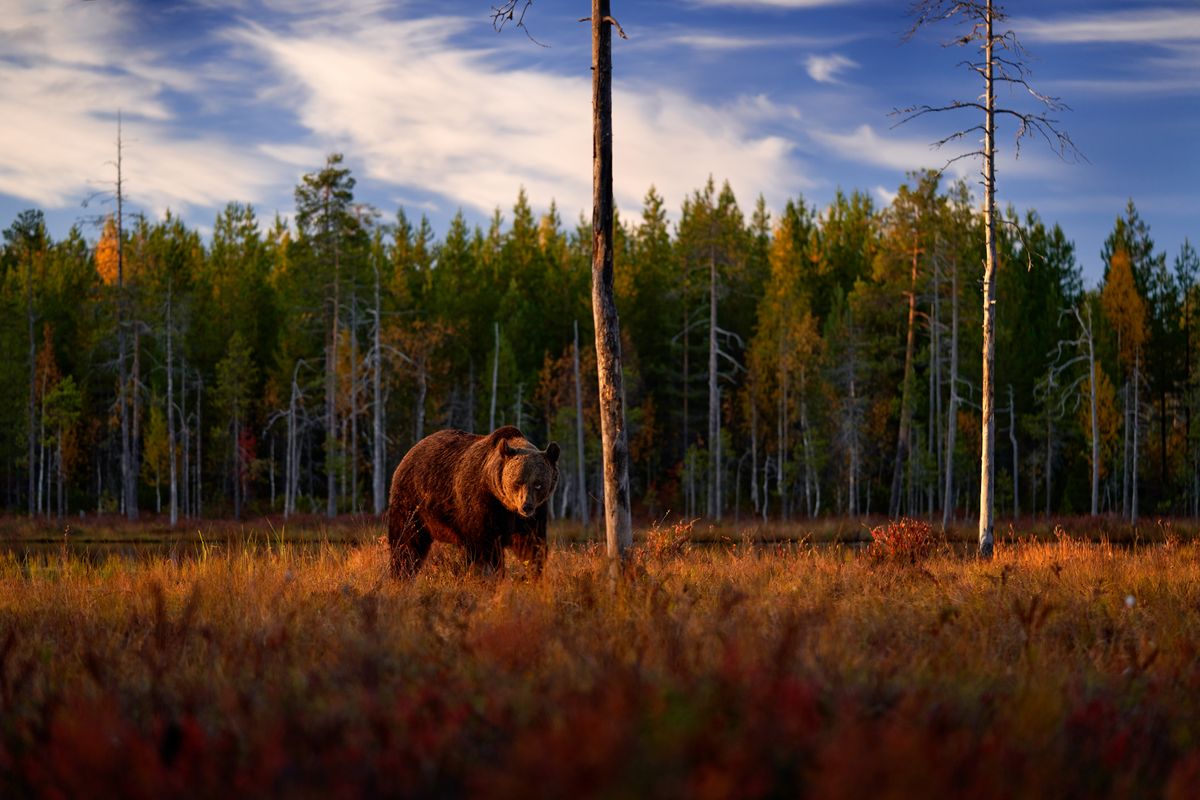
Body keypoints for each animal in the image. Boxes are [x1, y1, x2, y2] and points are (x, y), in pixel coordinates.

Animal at [386, 424, 559, 575]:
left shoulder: (534, 516)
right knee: (407, 541)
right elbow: (485, 549)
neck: (505, 504)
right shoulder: (482, 504)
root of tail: (412, 450)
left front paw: (535, 574)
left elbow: (532, 546)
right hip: (413, 502)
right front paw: (490, 575)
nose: (526, 507)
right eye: (518, 482)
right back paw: (402, 573)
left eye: (538, 484)